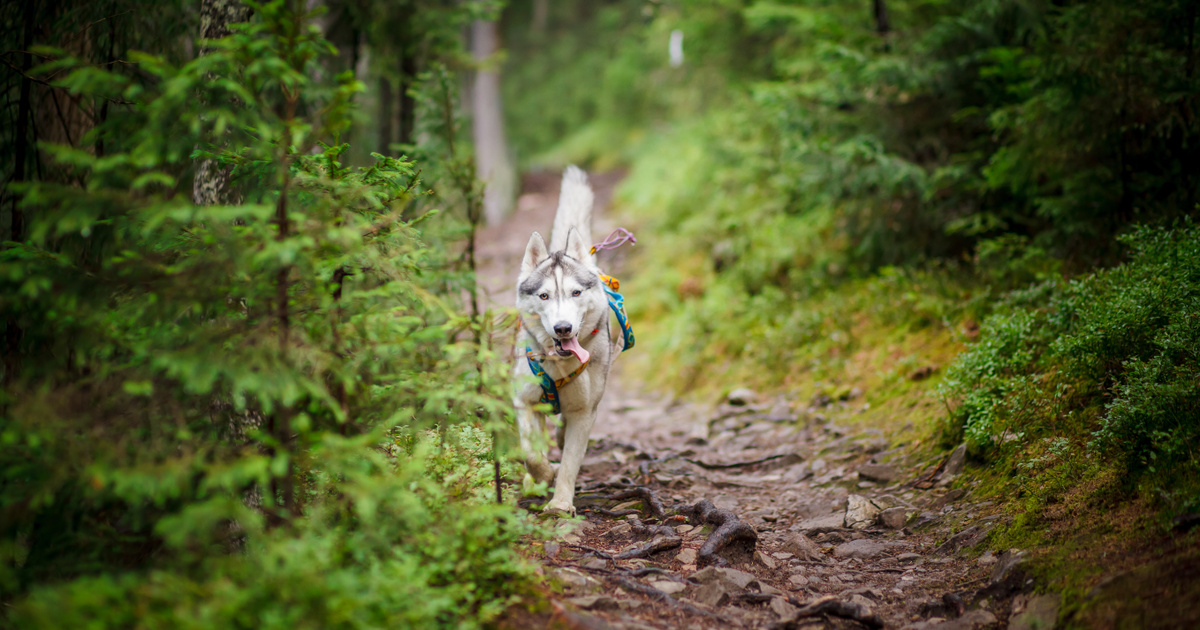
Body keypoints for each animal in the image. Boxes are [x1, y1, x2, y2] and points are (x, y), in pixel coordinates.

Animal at [511, 164, 619, 513]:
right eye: (544, 295)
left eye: (575, 292)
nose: (562, 328)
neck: (559, 365)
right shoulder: (523, 401)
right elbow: (531, 453)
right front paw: (542, 476)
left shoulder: (584, 413)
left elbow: (571, 461)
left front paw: (559, 503)